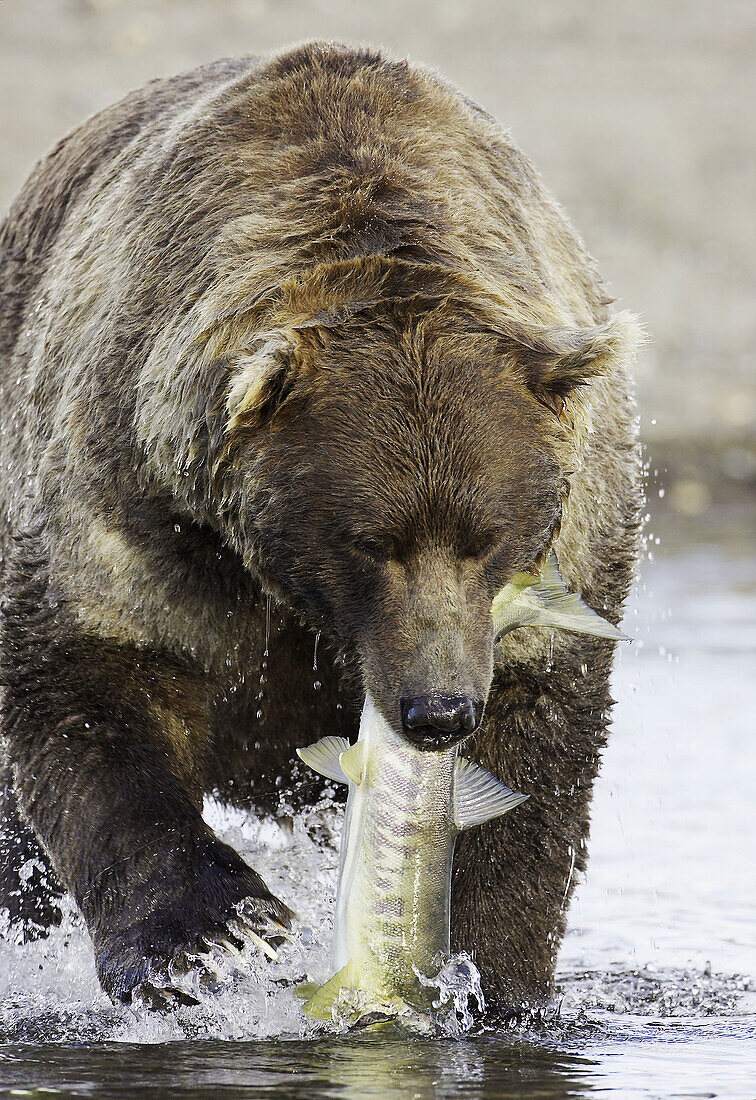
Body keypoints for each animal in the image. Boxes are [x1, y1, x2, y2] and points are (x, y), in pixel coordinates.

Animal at [0, 40, 638, 1007]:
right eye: (371, 542)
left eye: (489, 540)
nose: (438, 712)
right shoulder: (129, 490)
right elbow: (91, 682)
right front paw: (212, 937)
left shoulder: (567, 548)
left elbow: (534, 759)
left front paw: (484, 972)